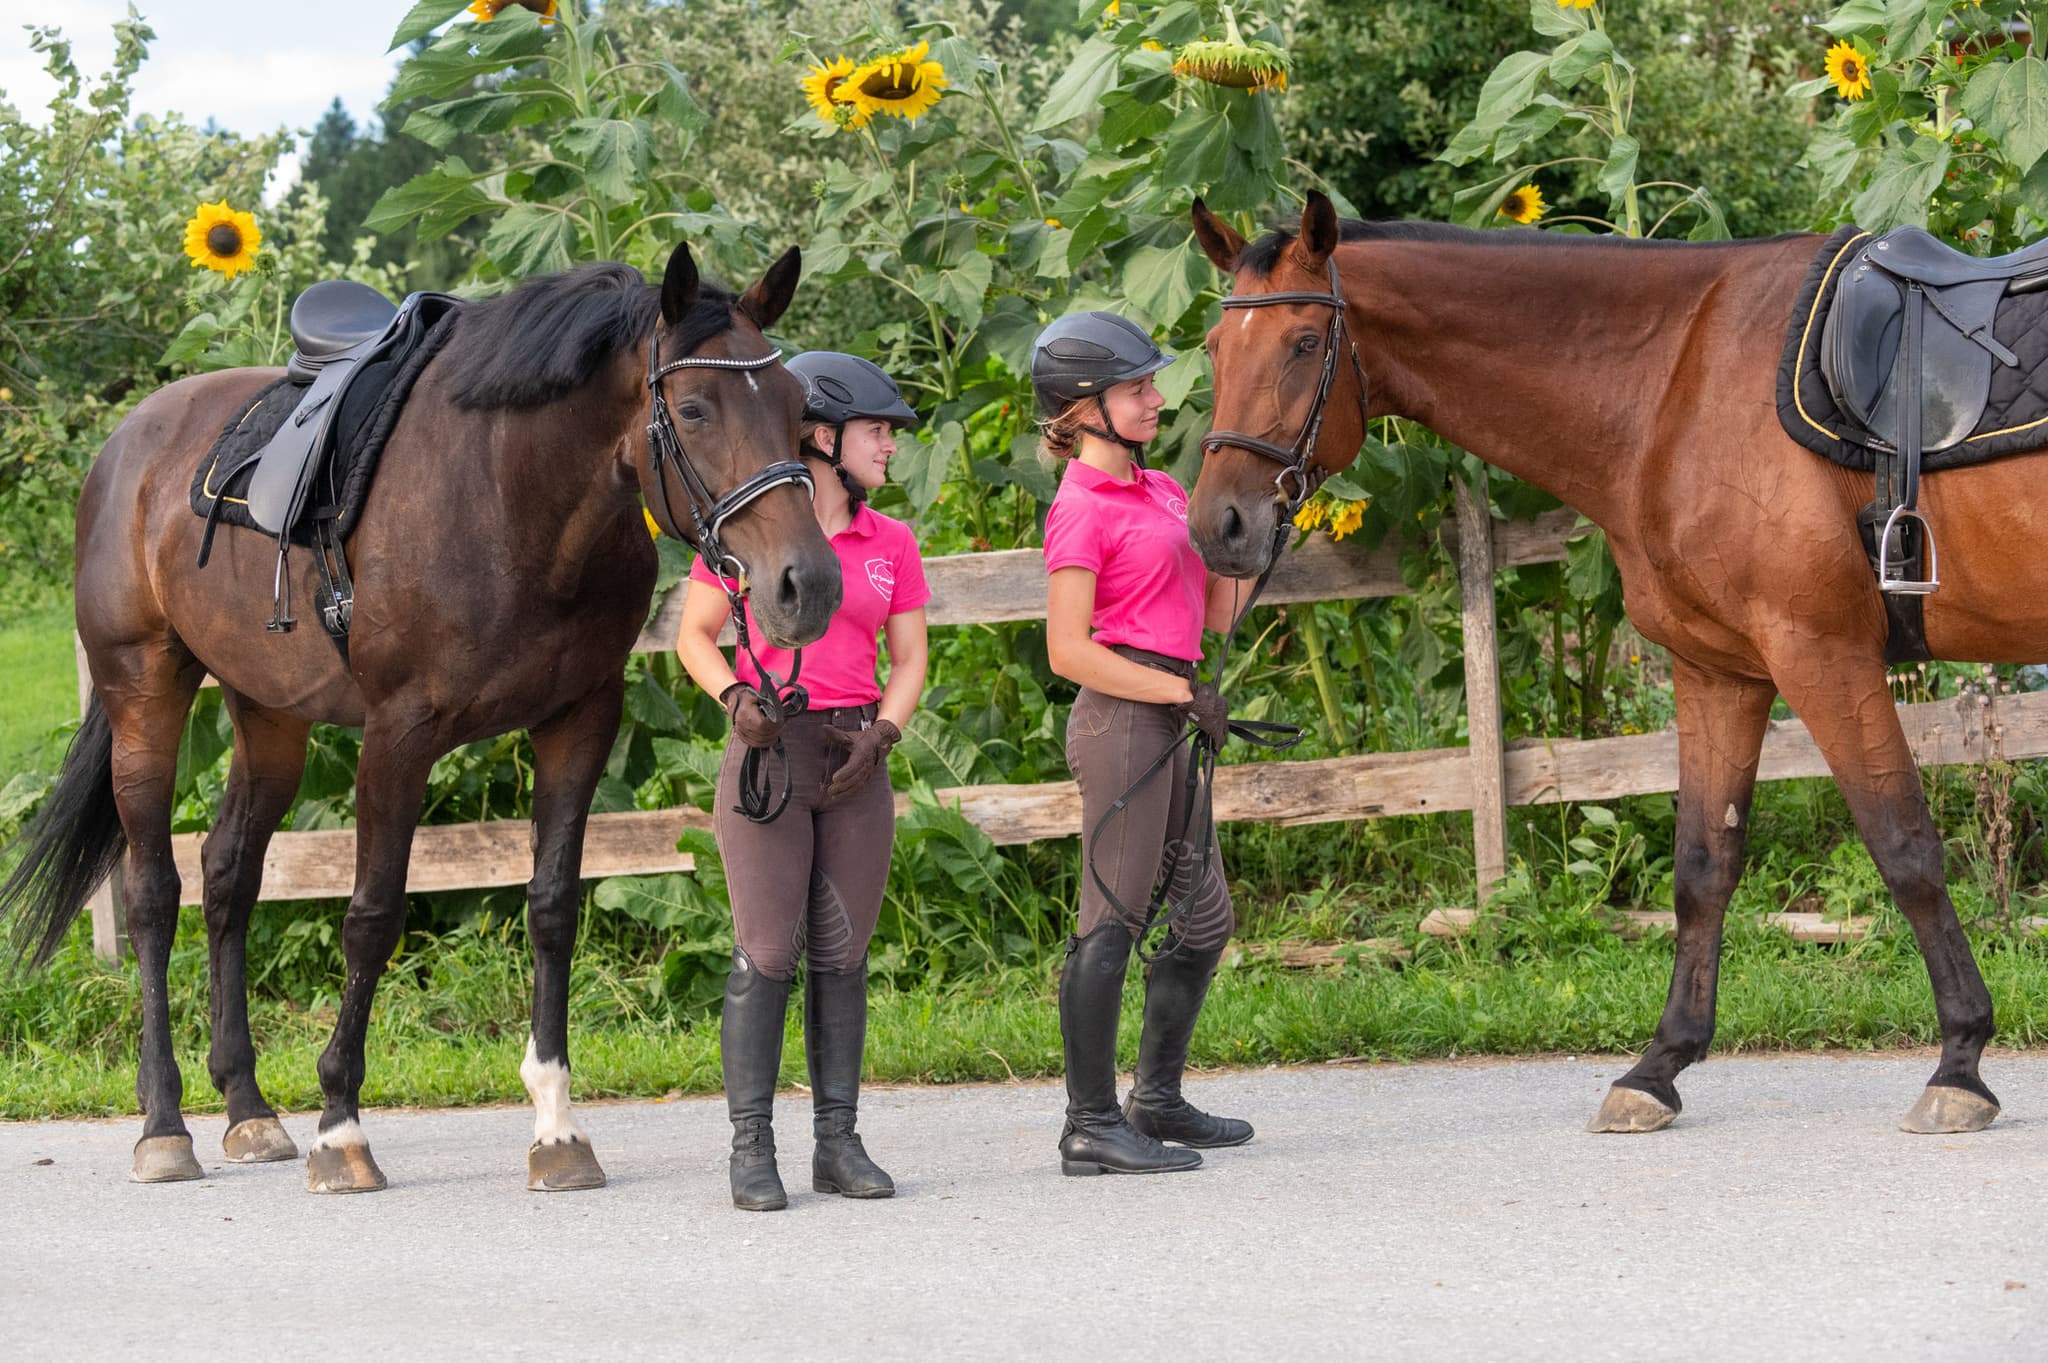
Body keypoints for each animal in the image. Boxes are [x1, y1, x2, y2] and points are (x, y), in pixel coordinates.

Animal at [0, 240, 841, 1191]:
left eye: (797, 409)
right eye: (694, 409)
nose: (807, 584)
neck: (513, 494)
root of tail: (125, 445)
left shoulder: (580, 720)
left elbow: (552, 905)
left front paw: (557, 1126)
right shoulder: (399, 734)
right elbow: (371, 915)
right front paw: (340, 1127)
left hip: (268, 713)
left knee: (228, 876)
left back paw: (248, 1109)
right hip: (144, 689)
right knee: (152, 891)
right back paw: (164, 1125)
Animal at [1185, 192, 2017, 1136]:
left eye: (1301, 343)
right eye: (1213, 349)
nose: (1219, 525)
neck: (1678, 379)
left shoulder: (1822, 655)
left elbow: (1905, 847)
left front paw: (1961, 1062)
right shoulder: (1719, 670)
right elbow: (1703, 867)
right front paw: (1659, 1066)